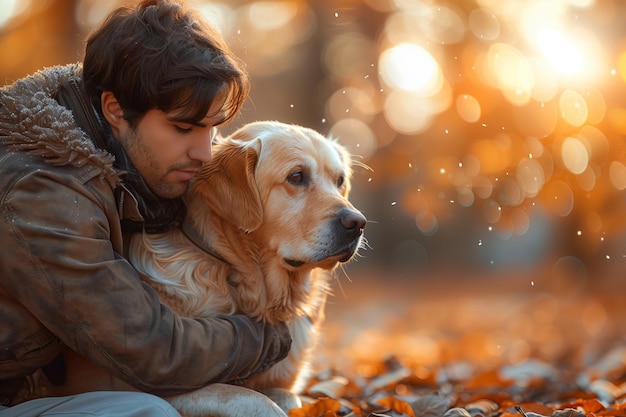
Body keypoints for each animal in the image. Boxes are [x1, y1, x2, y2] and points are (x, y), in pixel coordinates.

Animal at [127, 120, 366, 416]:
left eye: (339, 181)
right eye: (297, 176)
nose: (358, 223)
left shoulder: (283, 384)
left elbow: (288, 397)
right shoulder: (153, 388)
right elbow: (252, 398)